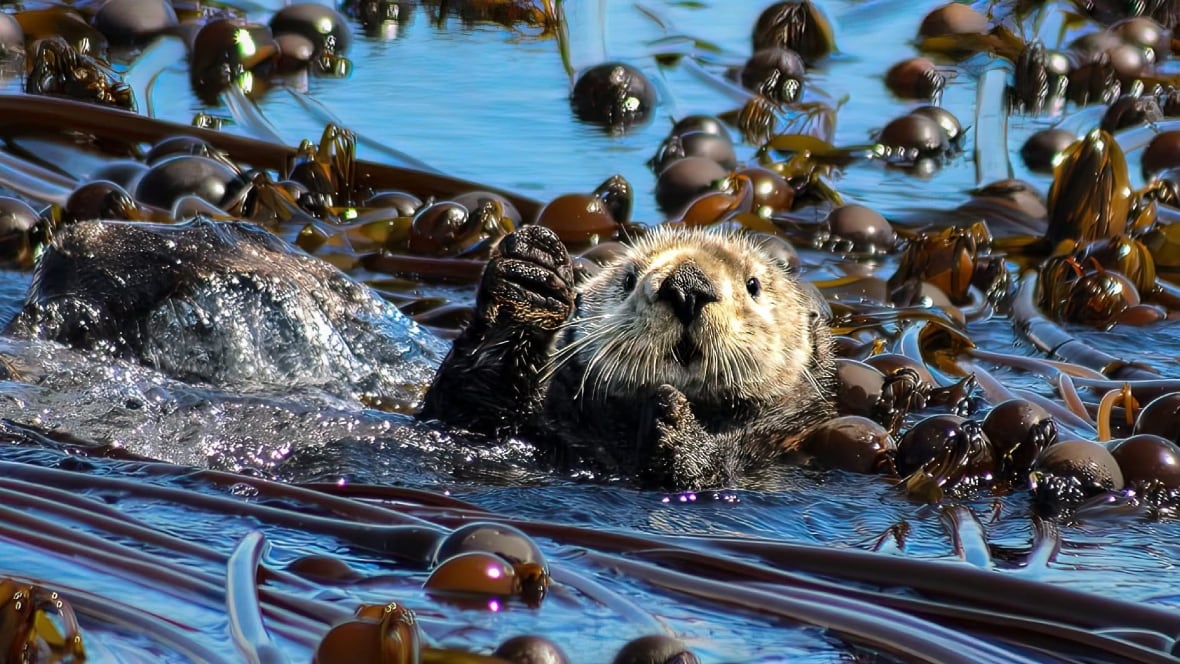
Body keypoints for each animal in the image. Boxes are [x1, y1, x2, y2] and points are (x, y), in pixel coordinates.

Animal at [420, 222, 835, 488]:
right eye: (628, 280)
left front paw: (675, 419)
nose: (687, 286)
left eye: (753, 285)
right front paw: (529, 275)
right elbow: (467, 412)